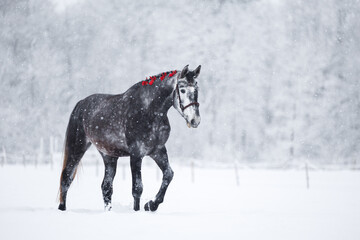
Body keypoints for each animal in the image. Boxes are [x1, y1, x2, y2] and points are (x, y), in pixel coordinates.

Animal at [57, 64, 201, 212]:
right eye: (182, 89)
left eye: (197, 89)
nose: (195, 120)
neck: (149, 111)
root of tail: (81, 103)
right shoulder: (136, 154)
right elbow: (137, 188)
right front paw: (138, 210)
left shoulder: (158, 151)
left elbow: (168, 174)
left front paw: (151, 205)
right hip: (77, 148)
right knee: (66, 178)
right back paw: (62, 208)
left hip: (109, 156)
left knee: (106, 187)